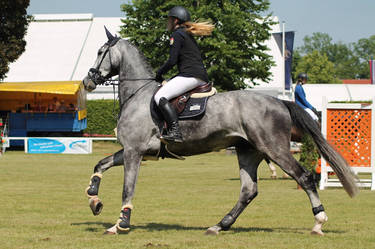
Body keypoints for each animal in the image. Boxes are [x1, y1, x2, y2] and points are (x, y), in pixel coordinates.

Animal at [82, 29, 358, 235]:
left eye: (100, 52)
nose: (88, 81)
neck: (137, 95)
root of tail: (279, 101)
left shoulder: (134, 152)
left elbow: (127, 188)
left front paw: (120, 224)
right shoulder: (132, 150)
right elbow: (100, 164)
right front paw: (94, 200)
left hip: (274, 148)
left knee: (304, 177)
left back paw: (319, 222)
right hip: (248, 151)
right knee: (248, 190)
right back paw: (219, 225)